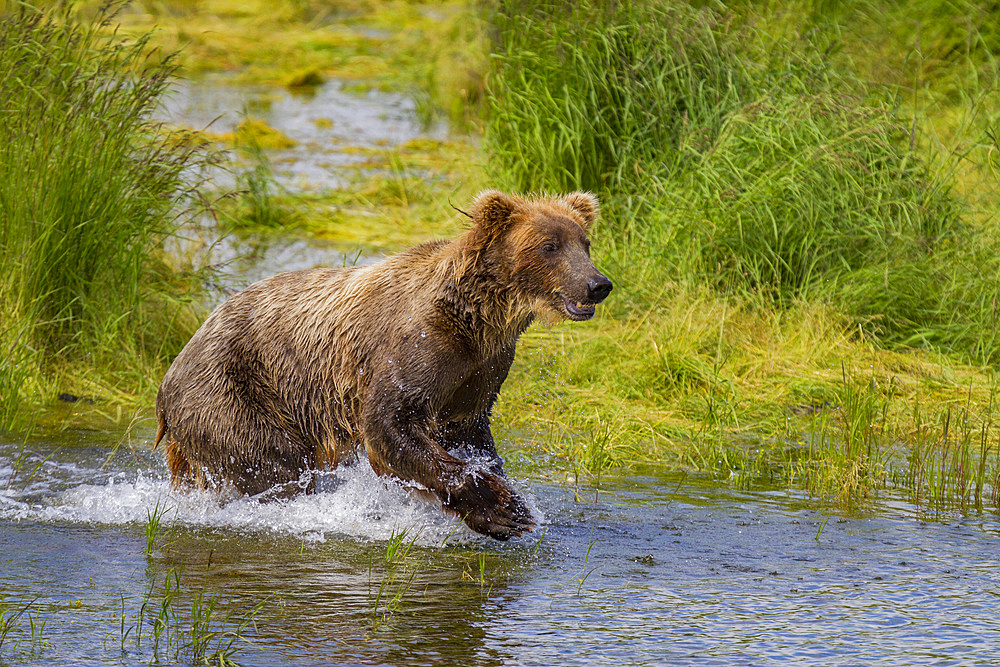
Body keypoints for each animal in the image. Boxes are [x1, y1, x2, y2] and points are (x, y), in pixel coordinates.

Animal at [153, 189, 612, 544]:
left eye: (585, 243)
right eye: (549, 246)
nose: (598, 284)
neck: (478, 319)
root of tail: (172, 370)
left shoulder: (480, 370)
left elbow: (468, 431)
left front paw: (504, 498)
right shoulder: (417, 346)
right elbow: (391, 423)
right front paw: (504, 509)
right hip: (233, 392)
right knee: (274, 465)